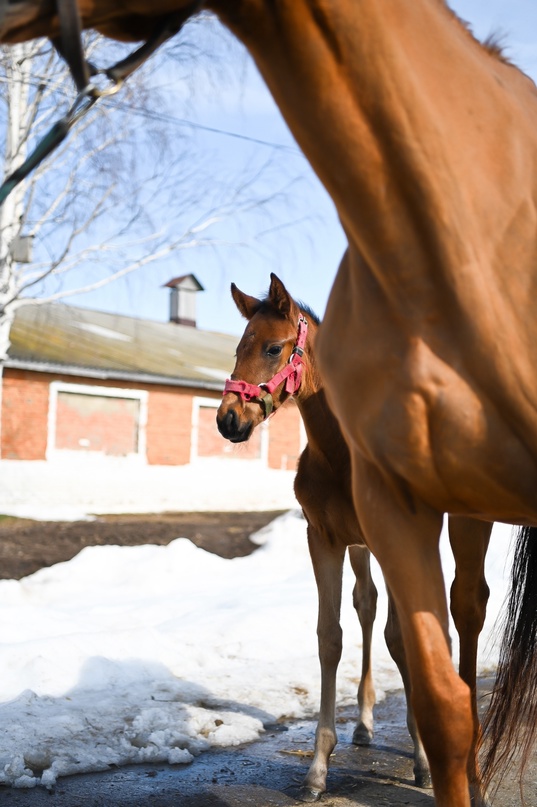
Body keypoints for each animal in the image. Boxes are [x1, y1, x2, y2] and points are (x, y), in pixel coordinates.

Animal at [217, 274, 490, 804]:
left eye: (274, 347)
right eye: (238, 348)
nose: (228, 420)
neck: (339, 453)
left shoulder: (394, 539)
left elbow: (401, 639)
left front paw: (423, 759)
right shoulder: (323, 538)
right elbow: (331, 637)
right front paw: (318, 769)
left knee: (459, 612)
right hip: (362, 547)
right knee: (367, 603)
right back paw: (364, 723)